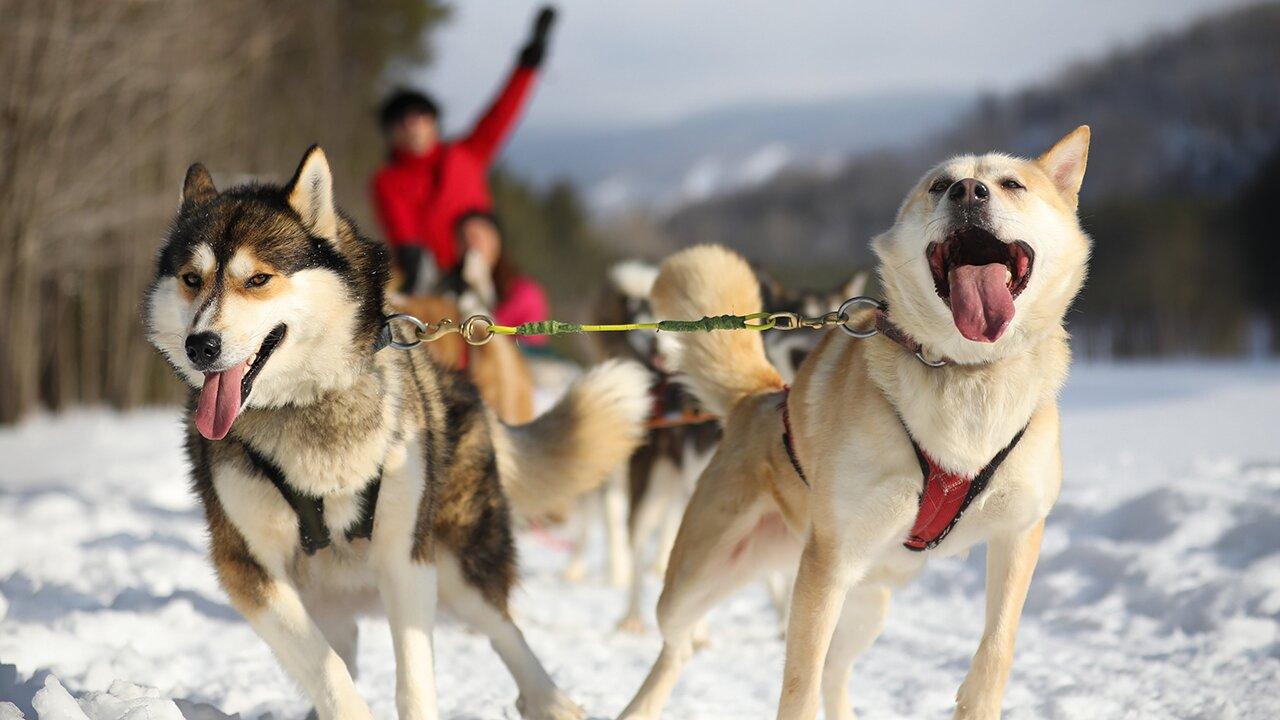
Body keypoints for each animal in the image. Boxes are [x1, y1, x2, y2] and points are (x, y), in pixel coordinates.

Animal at [142, 146, 650, 717]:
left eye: (258, 279)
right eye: (191, 278)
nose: (200, 345)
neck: (309, 407)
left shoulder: (406, 556)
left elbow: (414, 677)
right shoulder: (248, 567)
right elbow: (325, 668)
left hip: (459, 560)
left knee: (504, 629)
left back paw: (551, 699)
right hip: (328, 599)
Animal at [619, 126, 1090, 712]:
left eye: (1011, 184)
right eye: (941, 185)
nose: (969, 192)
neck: (963, 373)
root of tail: (762, 397)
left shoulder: (1019, 531)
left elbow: (997, 646)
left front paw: (977, 696)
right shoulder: (827, 566)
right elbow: (798, 685)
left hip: (866, 602)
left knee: (834, 673)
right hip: (698, 578)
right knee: (679, 642)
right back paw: (640, 701)